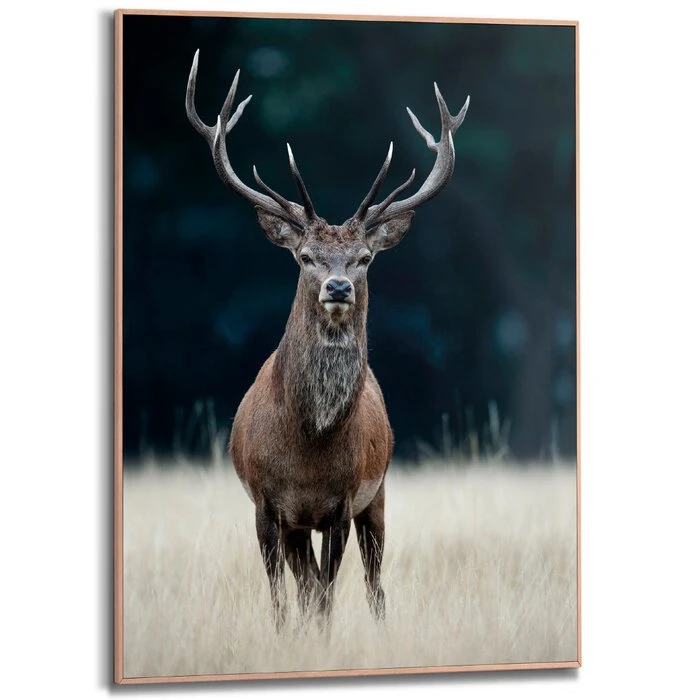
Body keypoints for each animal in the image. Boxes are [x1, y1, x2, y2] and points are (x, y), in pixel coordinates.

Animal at [185, 50, 470, 628]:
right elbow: (285, 596)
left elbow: (327, 595)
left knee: (374, 583)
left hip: (378, 495)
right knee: (305, 582)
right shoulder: (267, 506)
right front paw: (284, 635)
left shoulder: (341, 503)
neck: (308, 448)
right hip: (302, 524)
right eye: (305, 256)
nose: (338, 286)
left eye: (364, 258)